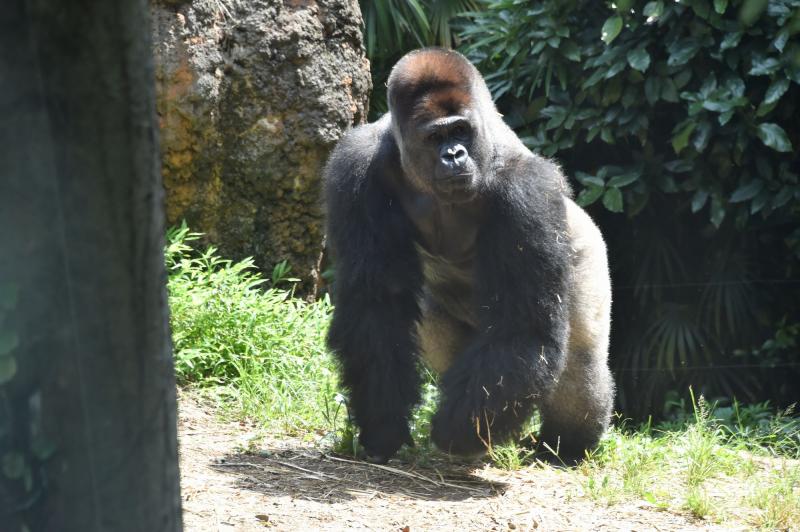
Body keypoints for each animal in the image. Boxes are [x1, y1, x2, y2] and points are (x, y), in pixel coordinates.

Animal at [322, 50, 616, 466]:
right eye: (435, 137)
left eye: (460, 132)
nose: (454, 155)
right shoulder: (355, 166)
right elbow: (376, 304)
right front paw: (383, 425)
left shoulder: (527, 189)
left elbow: (522, 328)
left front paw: (458, 433)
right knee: (436, 323)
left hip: (586, 247)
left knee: (580, 360)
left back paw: (566, 445)